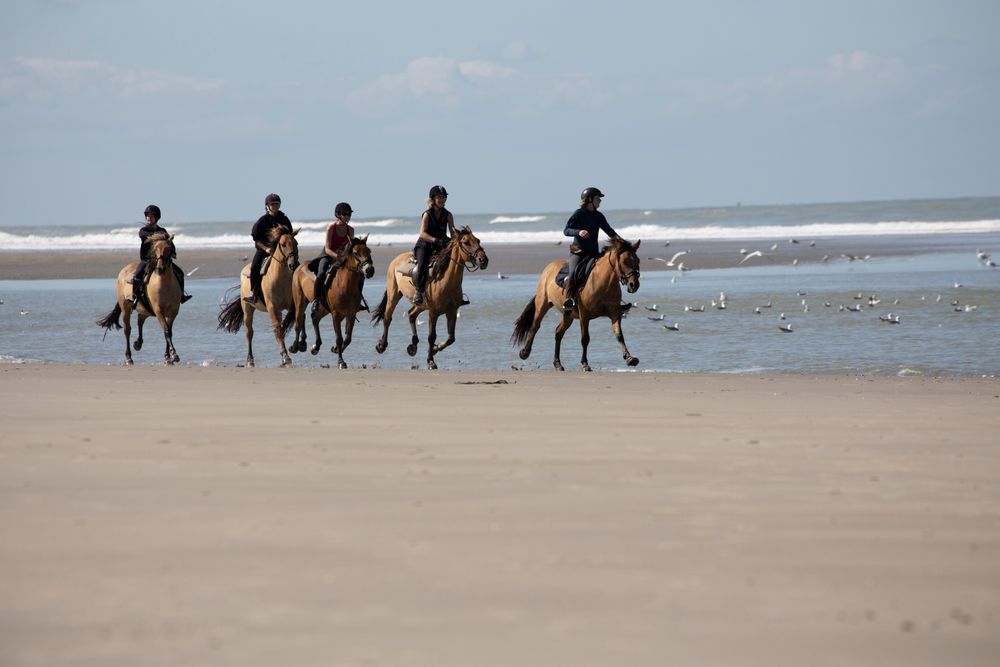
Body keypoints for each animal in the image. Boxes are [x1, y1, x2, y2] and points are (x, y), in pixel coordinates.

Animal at [97, 234, 186, 366]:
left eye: (169, 249)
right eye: (155, 249)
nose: (160, 268)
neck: (165, 284)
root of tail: (123, 270)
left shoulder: (173, 312)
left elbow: (169, 331)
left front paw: (168, 356)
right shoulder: (158, 311)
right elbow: (166, 331)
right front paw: (173, 355)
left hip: (145, 309)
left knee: (140, 321)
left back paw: (138, 343)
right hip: (125, 308)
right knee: (127, 330)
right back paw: (129, 357)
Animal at [217, 228, 298, 366]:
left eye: (296, 243)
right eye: (283, 244)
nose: (293, 265)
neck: (281, 278)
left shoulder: (289, 305)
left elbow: (284, 326)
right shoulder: (272, 307)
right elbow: (278, 330)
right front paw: (286, 357)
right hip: (248, 308)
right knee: (249, 333)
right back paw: (250, 360)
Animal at [290, 235, 376, 370]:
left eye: (369, 251)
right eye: (356, 252)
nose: (369, 270)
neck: (345, 285)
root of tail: (300, 266)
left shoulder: (351, 314)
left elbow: (348, 338)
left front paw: (335, 349)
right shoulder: (336, 314)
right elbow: (339, 338)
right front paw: (341, 361)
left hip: (323, 308)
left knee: (314, 318)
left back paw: (315, 346)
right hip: (300, 300)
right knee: (299, 321)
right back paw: (296, 346)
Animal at [372, 226, 488, 370]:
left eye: (478, 240)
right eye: (466, 242)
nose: (484, 260)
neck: (446, 281)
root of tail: (396, 259)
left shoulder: (452, 311)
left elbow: (451, 338)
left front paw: (435, 349)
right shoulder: (433, 313)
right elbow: (431, 336)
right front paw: (431, 361)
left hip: (421, 304)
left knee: (411, 314)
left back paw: (413, 346)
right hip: (394, 294)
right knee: (388, 317)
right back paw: (382, 345)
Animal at [512, 237, 644, 370]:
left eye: (637, 260)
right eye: (625, 261)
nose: (634, 285)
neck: (603, 282)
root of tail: (549, 267)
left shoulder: (614, 313)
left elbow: (619, 335)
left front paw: (629, 358)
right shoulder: (584, 315)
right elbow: (585, 339)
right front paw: (585, 364)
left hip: (568, 314)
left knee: (558, 332)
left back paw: (558, 364)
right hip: (542, 304)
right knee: (535, 326)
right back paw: (525, 352)